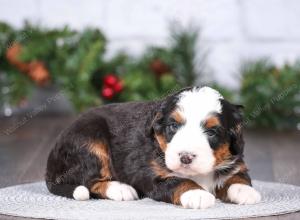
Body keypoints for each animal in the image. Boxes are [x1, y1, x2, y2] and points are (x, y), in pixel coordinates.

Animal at [46, 87, 260, 209]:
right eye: (173, 126)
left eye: (212, 132)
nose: (185, 157)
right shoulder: (151, 174)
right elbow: (178, 181)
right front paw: (197, 194)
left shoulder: (235, 161)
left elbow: (238, 177)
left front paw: (245, 191)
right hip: (91, 141)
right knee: (89, 180)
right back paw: (121, 189)